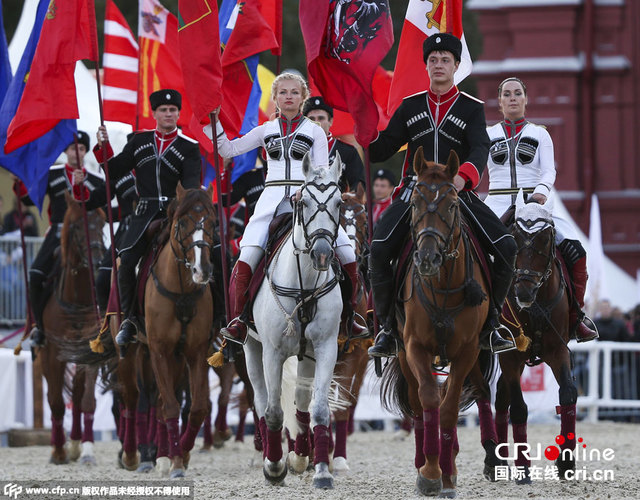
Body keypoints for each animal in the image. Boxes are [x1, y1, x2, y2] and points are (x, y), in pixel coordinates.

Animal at [245, 153, 344, 488]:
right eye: (307, 202)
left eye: (339, 202)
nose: (323, 254)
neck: (305, 284)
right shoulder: (272, 352)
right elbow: (274, 411)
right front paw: (274, 468)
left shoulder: (326, 348)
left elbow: (320, 409)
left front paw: (322, 472)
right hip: (251, 349)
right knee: (262, 402)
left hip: (306, 354)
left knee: (301, 403)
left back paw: (301, 457)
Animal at [382, 147, 492, 496]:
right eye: (415, 202)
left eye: (453, 203)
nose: (428, 258)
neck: (443, 284)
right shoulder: (415, 347)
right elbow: (429, 401)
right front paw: (430, 472)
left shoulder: (467, 351)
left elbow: (449, 406)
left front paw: (446, 474)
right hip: (403, 355)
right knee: (418, 405)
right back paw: (423, 461)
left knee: (477, 392)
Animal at [492, 191, 576, 480]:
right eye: (514, 238)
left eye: (545, 238)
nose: (524, 292)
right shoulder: (510, 355)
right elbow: (519, 408)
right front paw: (523, 467)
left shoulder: (557, 350)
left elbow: (568, 394)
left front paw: (566, 462)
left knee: (500, 396)